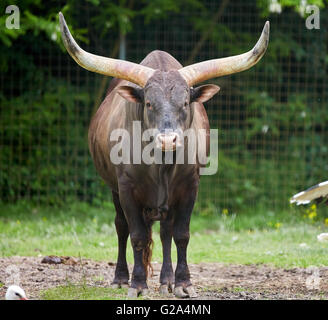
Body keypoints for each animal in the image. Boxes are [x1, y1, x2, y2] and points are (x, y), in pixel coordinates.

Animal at [59, 11, 270, 298]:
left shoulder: (190, 187)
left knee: (165, 231)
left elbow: (180, 234)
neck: (161, 165)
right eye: (149, 103)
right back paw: (120, 277)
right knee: (121, 226)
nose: (168, 140)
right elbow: (136, 235)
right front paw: (137, 284)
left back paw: (166, 280)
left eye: (185, 102)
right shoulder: (126, 188)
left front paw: (182, 283)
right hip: (114, 189)